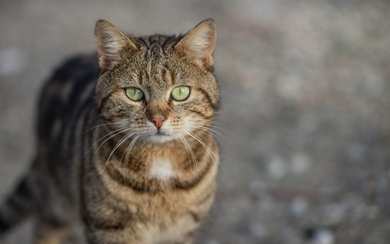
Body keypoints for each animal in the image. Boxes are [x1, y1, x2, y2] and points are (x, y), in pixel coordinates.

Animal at [0, 18, 219, 243]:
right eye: (133, 93)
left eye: (181, 92)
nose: (158, 119)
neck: (160, 163)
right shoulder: (108, 228)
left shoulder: (181, 231)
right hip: (56, 203)